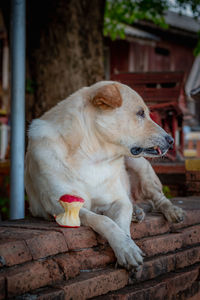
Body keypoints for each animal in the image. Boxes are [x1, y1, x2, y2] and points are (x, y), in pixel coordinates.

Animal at [25, 81, 184, 270]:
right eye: (140, 113)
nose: (171, 141)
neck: (91, 155)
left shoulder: (120, 200)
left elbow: (121, 224)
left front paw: (127, 247)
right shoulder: (58, 206)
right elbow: (103, 220)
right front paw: (125, 247)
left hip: (139, 165)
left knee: (158, 198)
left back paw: (171, 211)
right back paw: (137, 211)